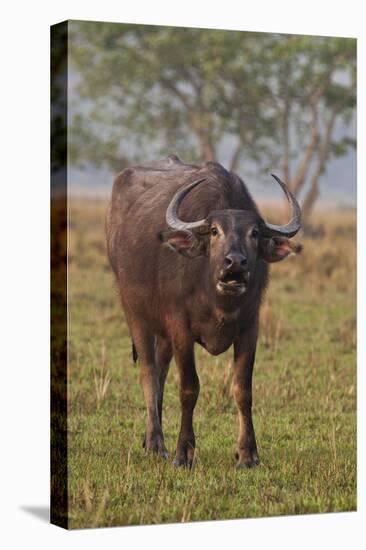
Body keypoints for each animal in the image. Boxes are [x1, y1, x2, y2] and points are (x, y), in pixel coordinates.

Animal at [105, 154, 300, 470]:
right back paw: (157, 444)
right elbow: (189, 388)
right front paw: (184, 453)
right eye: (214, 231)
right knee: (148, 373)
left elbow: (243, 390)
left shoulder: (250, 329)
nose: (235, 263)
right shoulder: (180, 327)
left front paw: (248, 454)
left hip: (163, 332)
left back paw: (149, 439)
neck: (218, 300)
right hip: (135, 314)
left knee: (161, 371)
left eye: (255, 233)